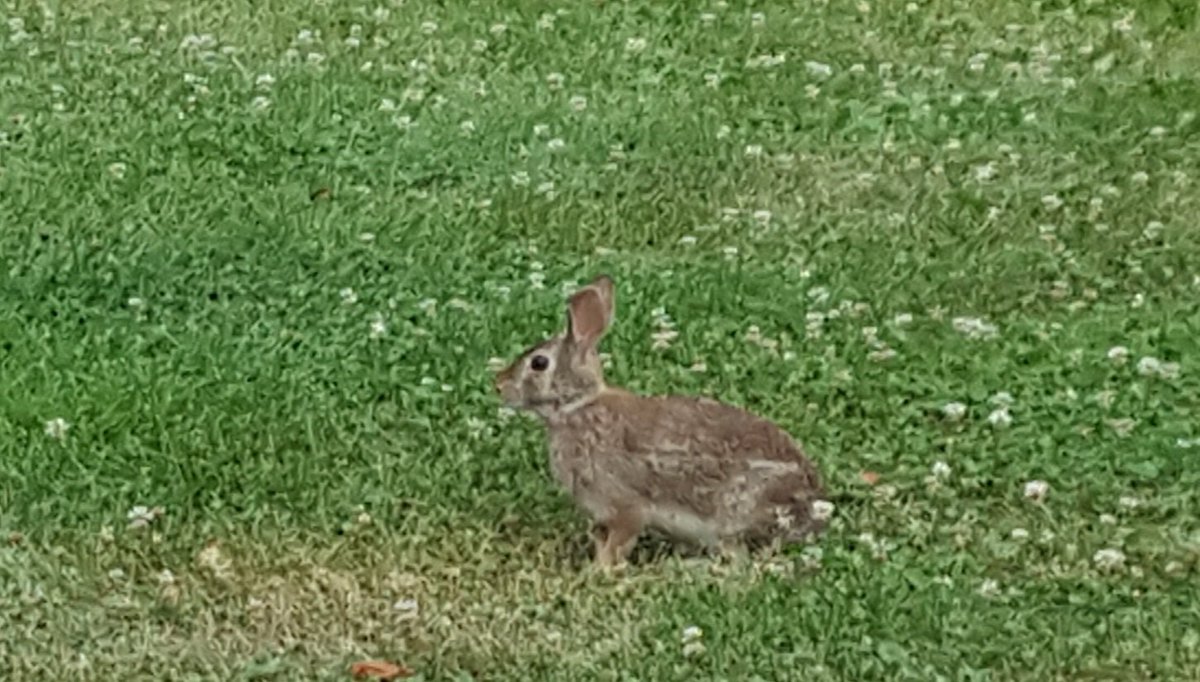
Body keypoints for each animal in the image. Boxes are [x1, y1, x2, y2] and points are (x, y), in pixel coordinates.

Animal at [494, 274, 829, 568]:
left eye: (539, 363)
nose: (498, 385)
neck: (578, 405)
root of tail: (814, 505)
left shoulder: (625, 507)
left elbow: (618, 542)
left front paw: (598, 571)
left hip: (734, 511)